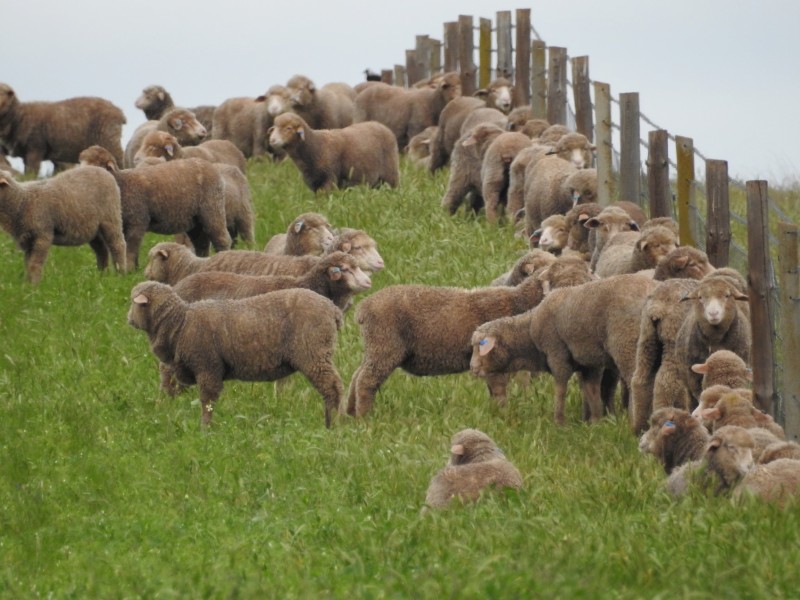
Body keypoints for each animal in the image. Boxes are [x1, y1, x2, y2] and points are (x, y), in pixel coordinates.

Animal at [78, 146, 230, 267]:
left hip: (212, 208)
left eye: (96, 165)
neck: (123, 184)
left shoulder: (137, 222)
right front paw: (134, 270)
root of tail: (209, 165)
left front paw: (129, 269)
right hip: (195, 220)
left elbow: (131, 249)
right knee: (201, 243)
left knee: (221, 238)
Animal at [127, 282, 345, 427]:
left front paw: (205, 429)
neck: (180, 322)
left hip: (313, 353)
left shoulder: (208, 367)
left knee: (333, 388)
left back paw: (332, 424)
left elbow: (207, 401)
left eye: (133, 302)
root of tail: (333, 309)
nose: (128, 318)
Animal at [268, 113, 399, 192]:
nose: (272, 140)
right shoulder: (314, 182)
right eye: (274, 128)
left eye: (288, 128)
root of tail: (381, 125)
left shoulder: (329, 177)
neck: (315, 146)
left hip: (390, 172)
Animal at [345, 259, 591, 416]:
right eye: (562, 281)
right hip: (385, 344)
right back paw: (365, 418)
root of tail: (363, 309)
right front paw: (502, 418)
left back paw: (348, 415)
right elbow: (499, 392)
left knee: (356, 377)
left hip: (376, 347)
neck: (521, 304)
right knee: (366, 380)